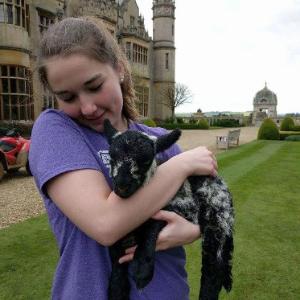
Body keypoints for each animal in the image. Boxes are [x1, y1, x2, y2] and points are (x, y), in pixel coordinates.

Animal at [104, 119, 236, 300]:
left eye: (146, 161)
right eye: (111, 157)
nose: (122, 186)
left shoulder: (183, 206)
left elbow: (152, 225)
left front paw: (142, 270)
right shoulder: (118, 229)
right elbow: (115, 254)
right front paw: (117, 288)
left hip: (216, 215)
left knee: (214, 267)